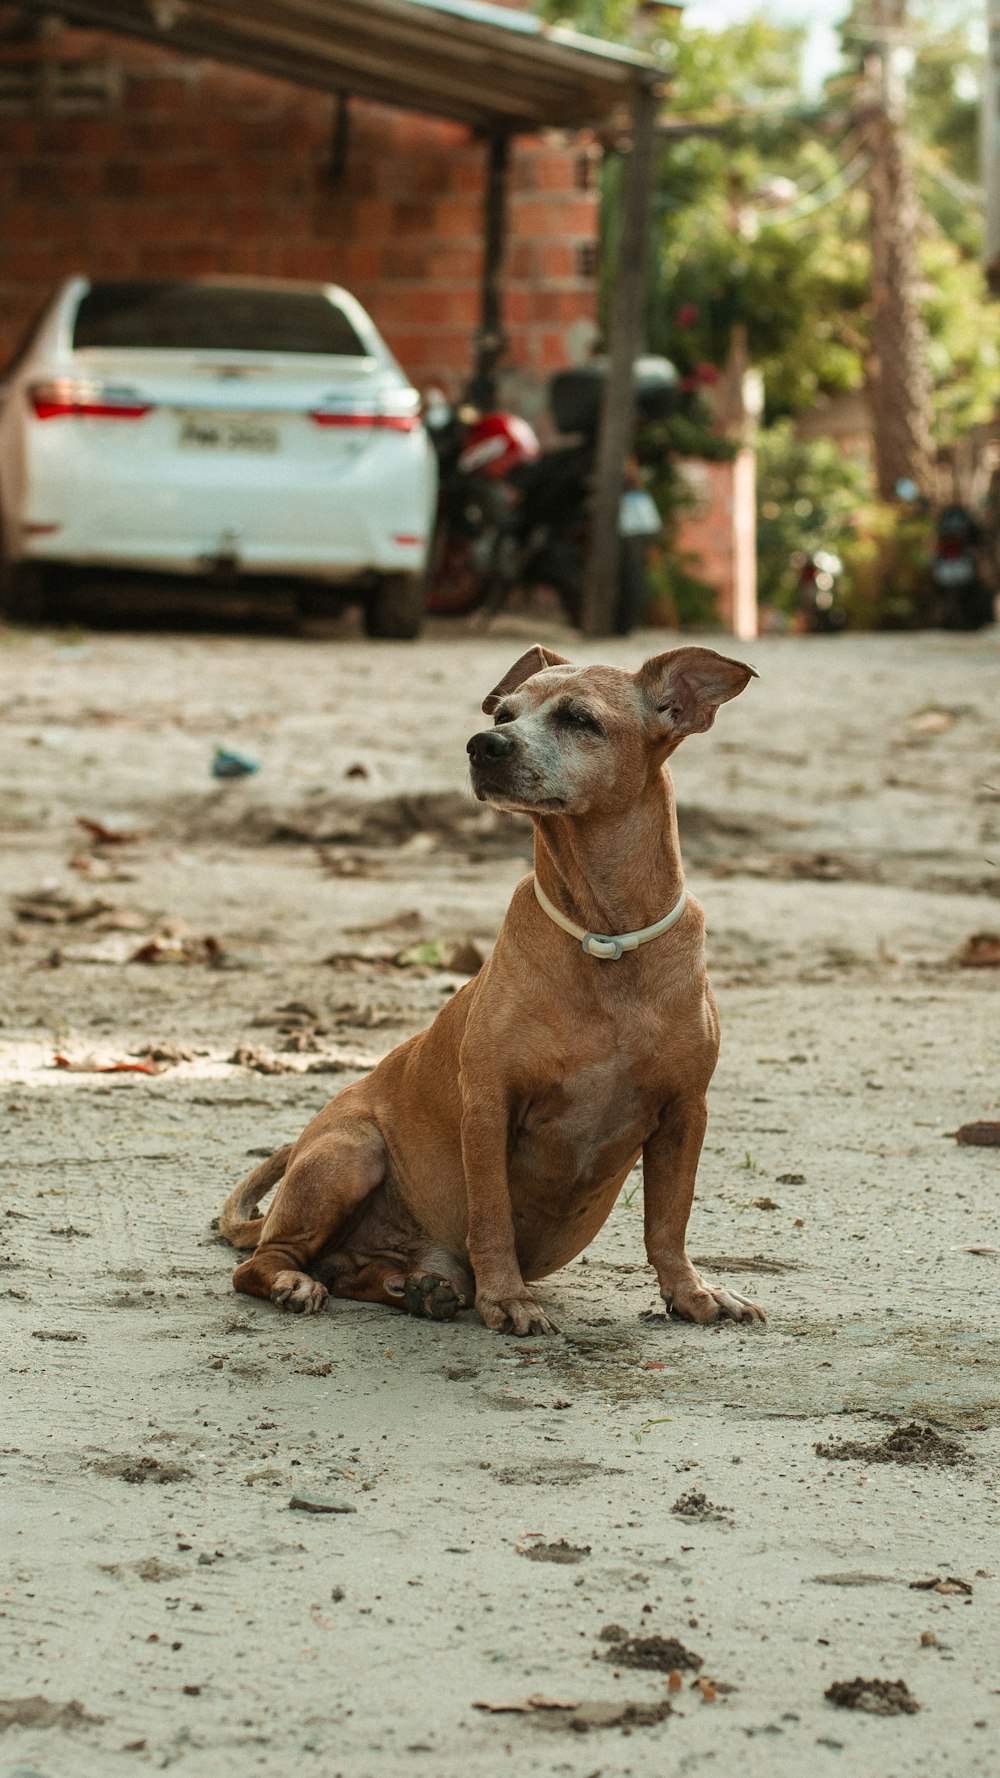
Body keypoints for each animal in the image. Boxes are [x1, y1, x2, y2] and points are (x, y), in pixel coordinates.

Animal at [219, 643, 761, 1337]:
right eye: (504, 712)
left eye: (579, 719)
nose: (484, 744)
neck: (605, 937)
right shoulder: (489, 1106)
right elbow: (493, 1217)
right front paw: (507, 1298)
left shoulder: (685, 1112)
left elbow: (668, 1223)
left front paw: (690, 1292)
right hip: (349, 1153)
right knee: (264, 1264)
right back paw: (296, 1282)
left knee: (349, 1271)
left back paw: (418, 1289)